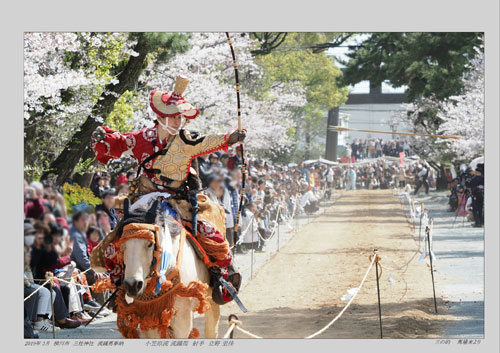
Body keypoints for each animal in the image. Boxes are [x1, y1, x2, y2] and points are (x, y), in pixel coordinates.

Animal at [117, 192, 221, 338]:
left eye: (150, 244)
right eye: (123, 244)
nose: (132, 285)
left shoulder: (182, 319)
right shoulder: (151, 319)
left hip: (211, 300)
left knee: (211, 330)